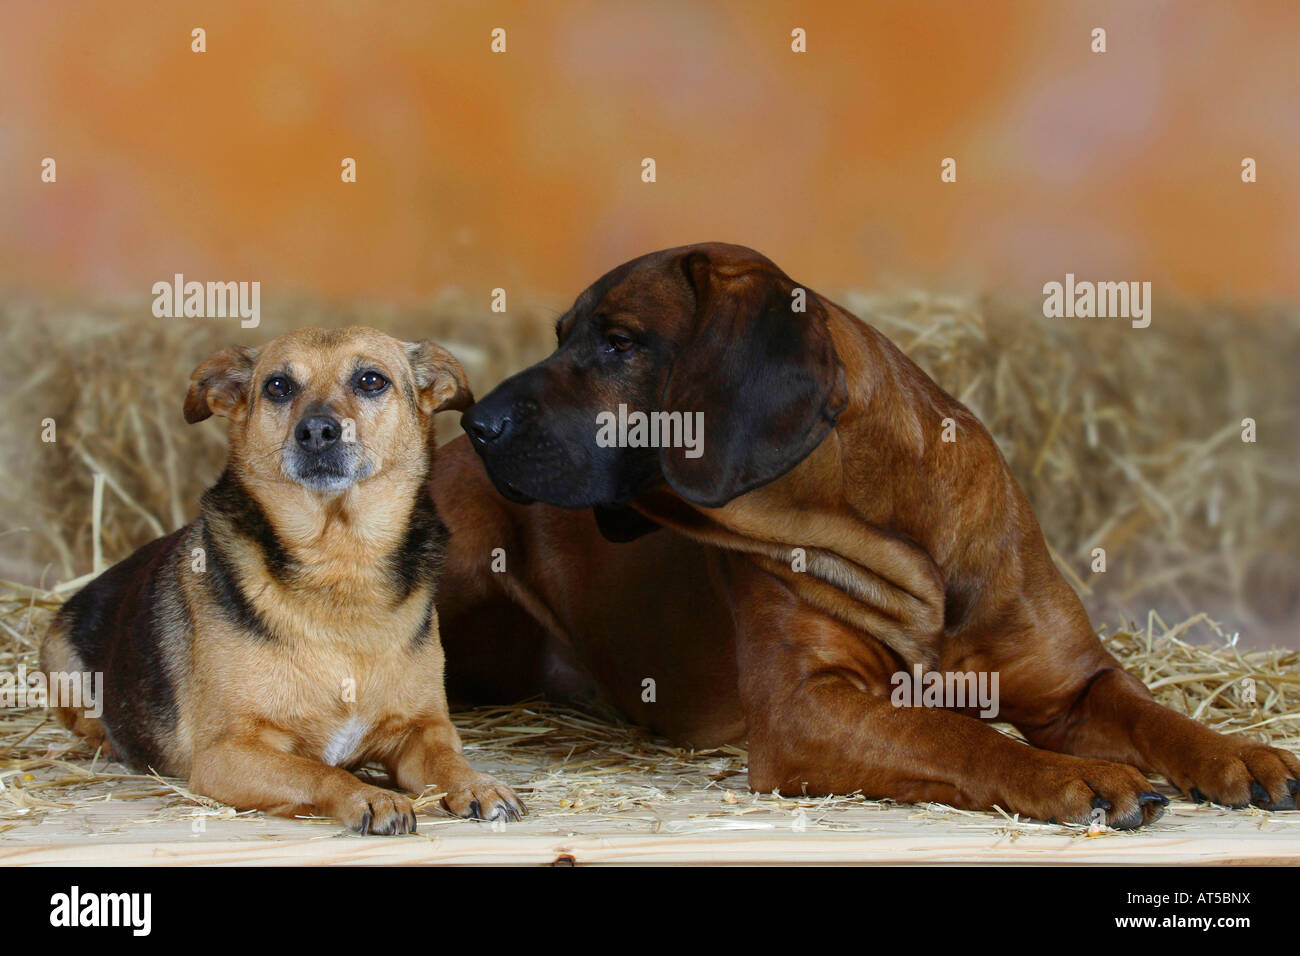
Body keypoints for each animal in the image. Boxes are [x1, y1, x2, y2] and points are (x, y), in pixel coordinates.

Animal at [431, 243, 1294, 827]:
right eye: (565, 334)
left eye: (620, 341)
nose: (478, 421)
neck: (905, 547)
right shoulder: (809, 709)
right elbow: (958, 737)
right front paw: (1072, 776)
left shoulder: (1075, 685)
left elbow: (1156, 715)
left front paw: (1240, 752)